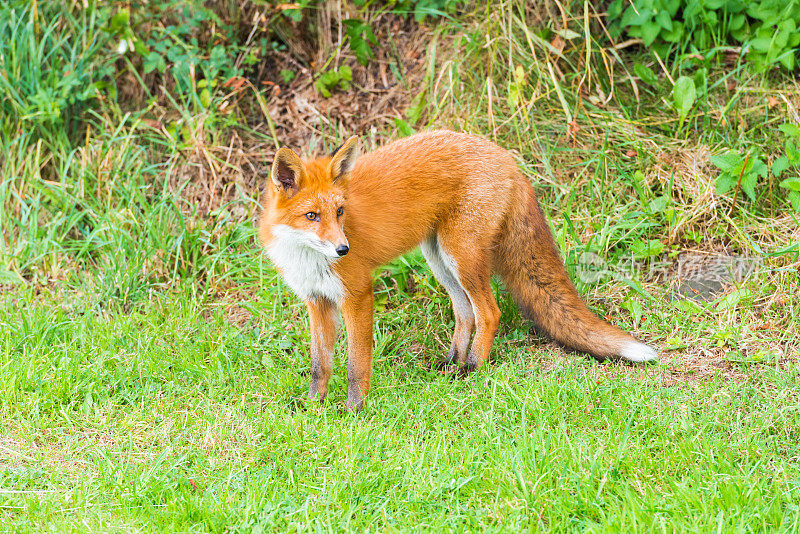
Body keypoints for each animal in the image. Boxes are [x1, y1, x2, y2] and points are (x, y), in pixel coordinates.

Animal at [260, 131, 660, 414]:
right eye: (312, 216)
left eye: (340, 212)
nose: (343, 249)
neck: (306, 257)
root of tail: (506, 156)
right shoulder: (317, 301)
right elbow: (319, 365)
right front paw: (314, 407)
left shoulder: (357, 295)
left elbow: (357, 366)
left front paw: (354, 412)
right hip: (439, 259)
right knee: (465, 311)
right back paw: (450, 364)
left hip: (461, 256)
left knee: (489, 311)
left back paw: (473, 368)